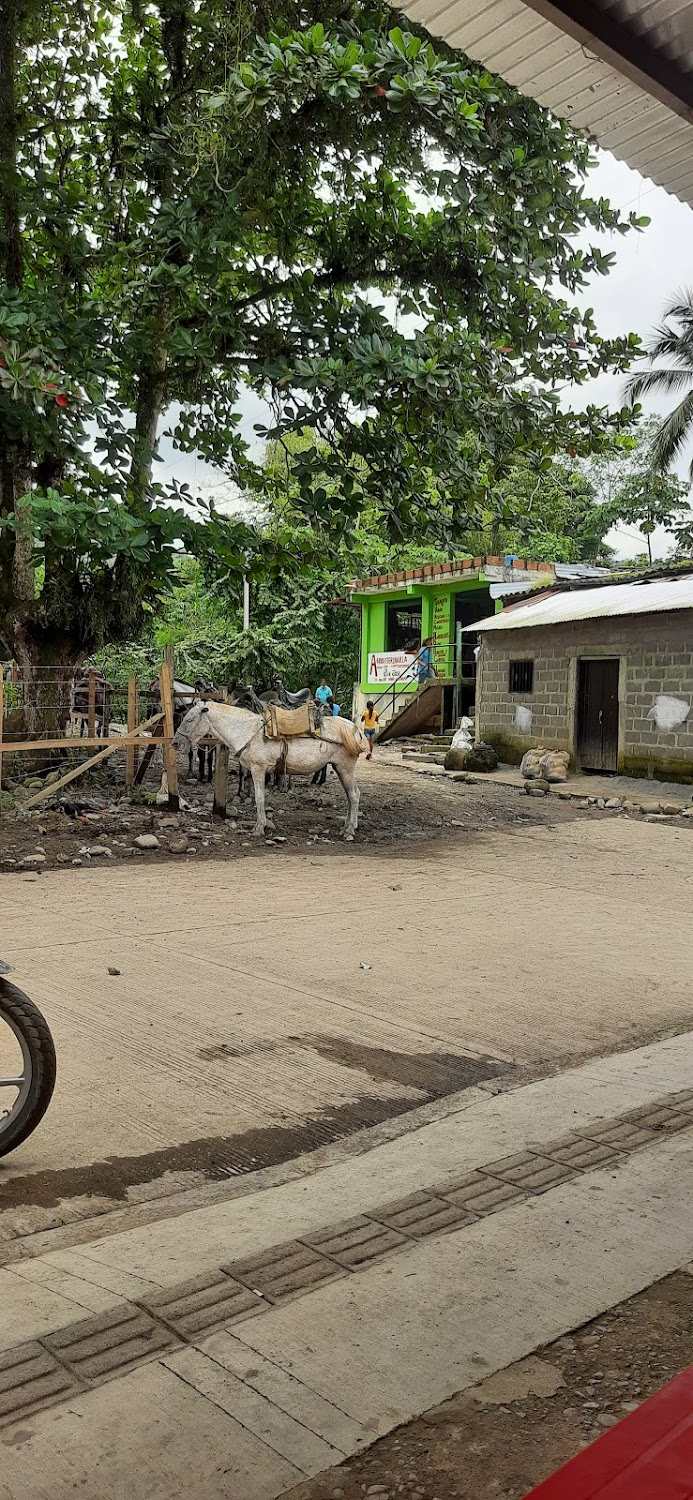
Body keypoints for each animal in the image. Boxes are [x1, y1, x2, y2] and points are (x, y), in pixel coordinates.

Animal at [171, 699, 367, 840]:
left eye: (189, 719)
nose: (175, 743)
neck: (247, 731)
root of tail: (355, 730)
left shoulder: (258, 769)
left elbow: (259, 798)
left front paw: (259, 828)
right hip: (339, 768)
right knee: (350, 797)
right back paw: (346, 827)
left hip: (345, 768)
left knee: (354, 795)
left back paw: (350, 831)